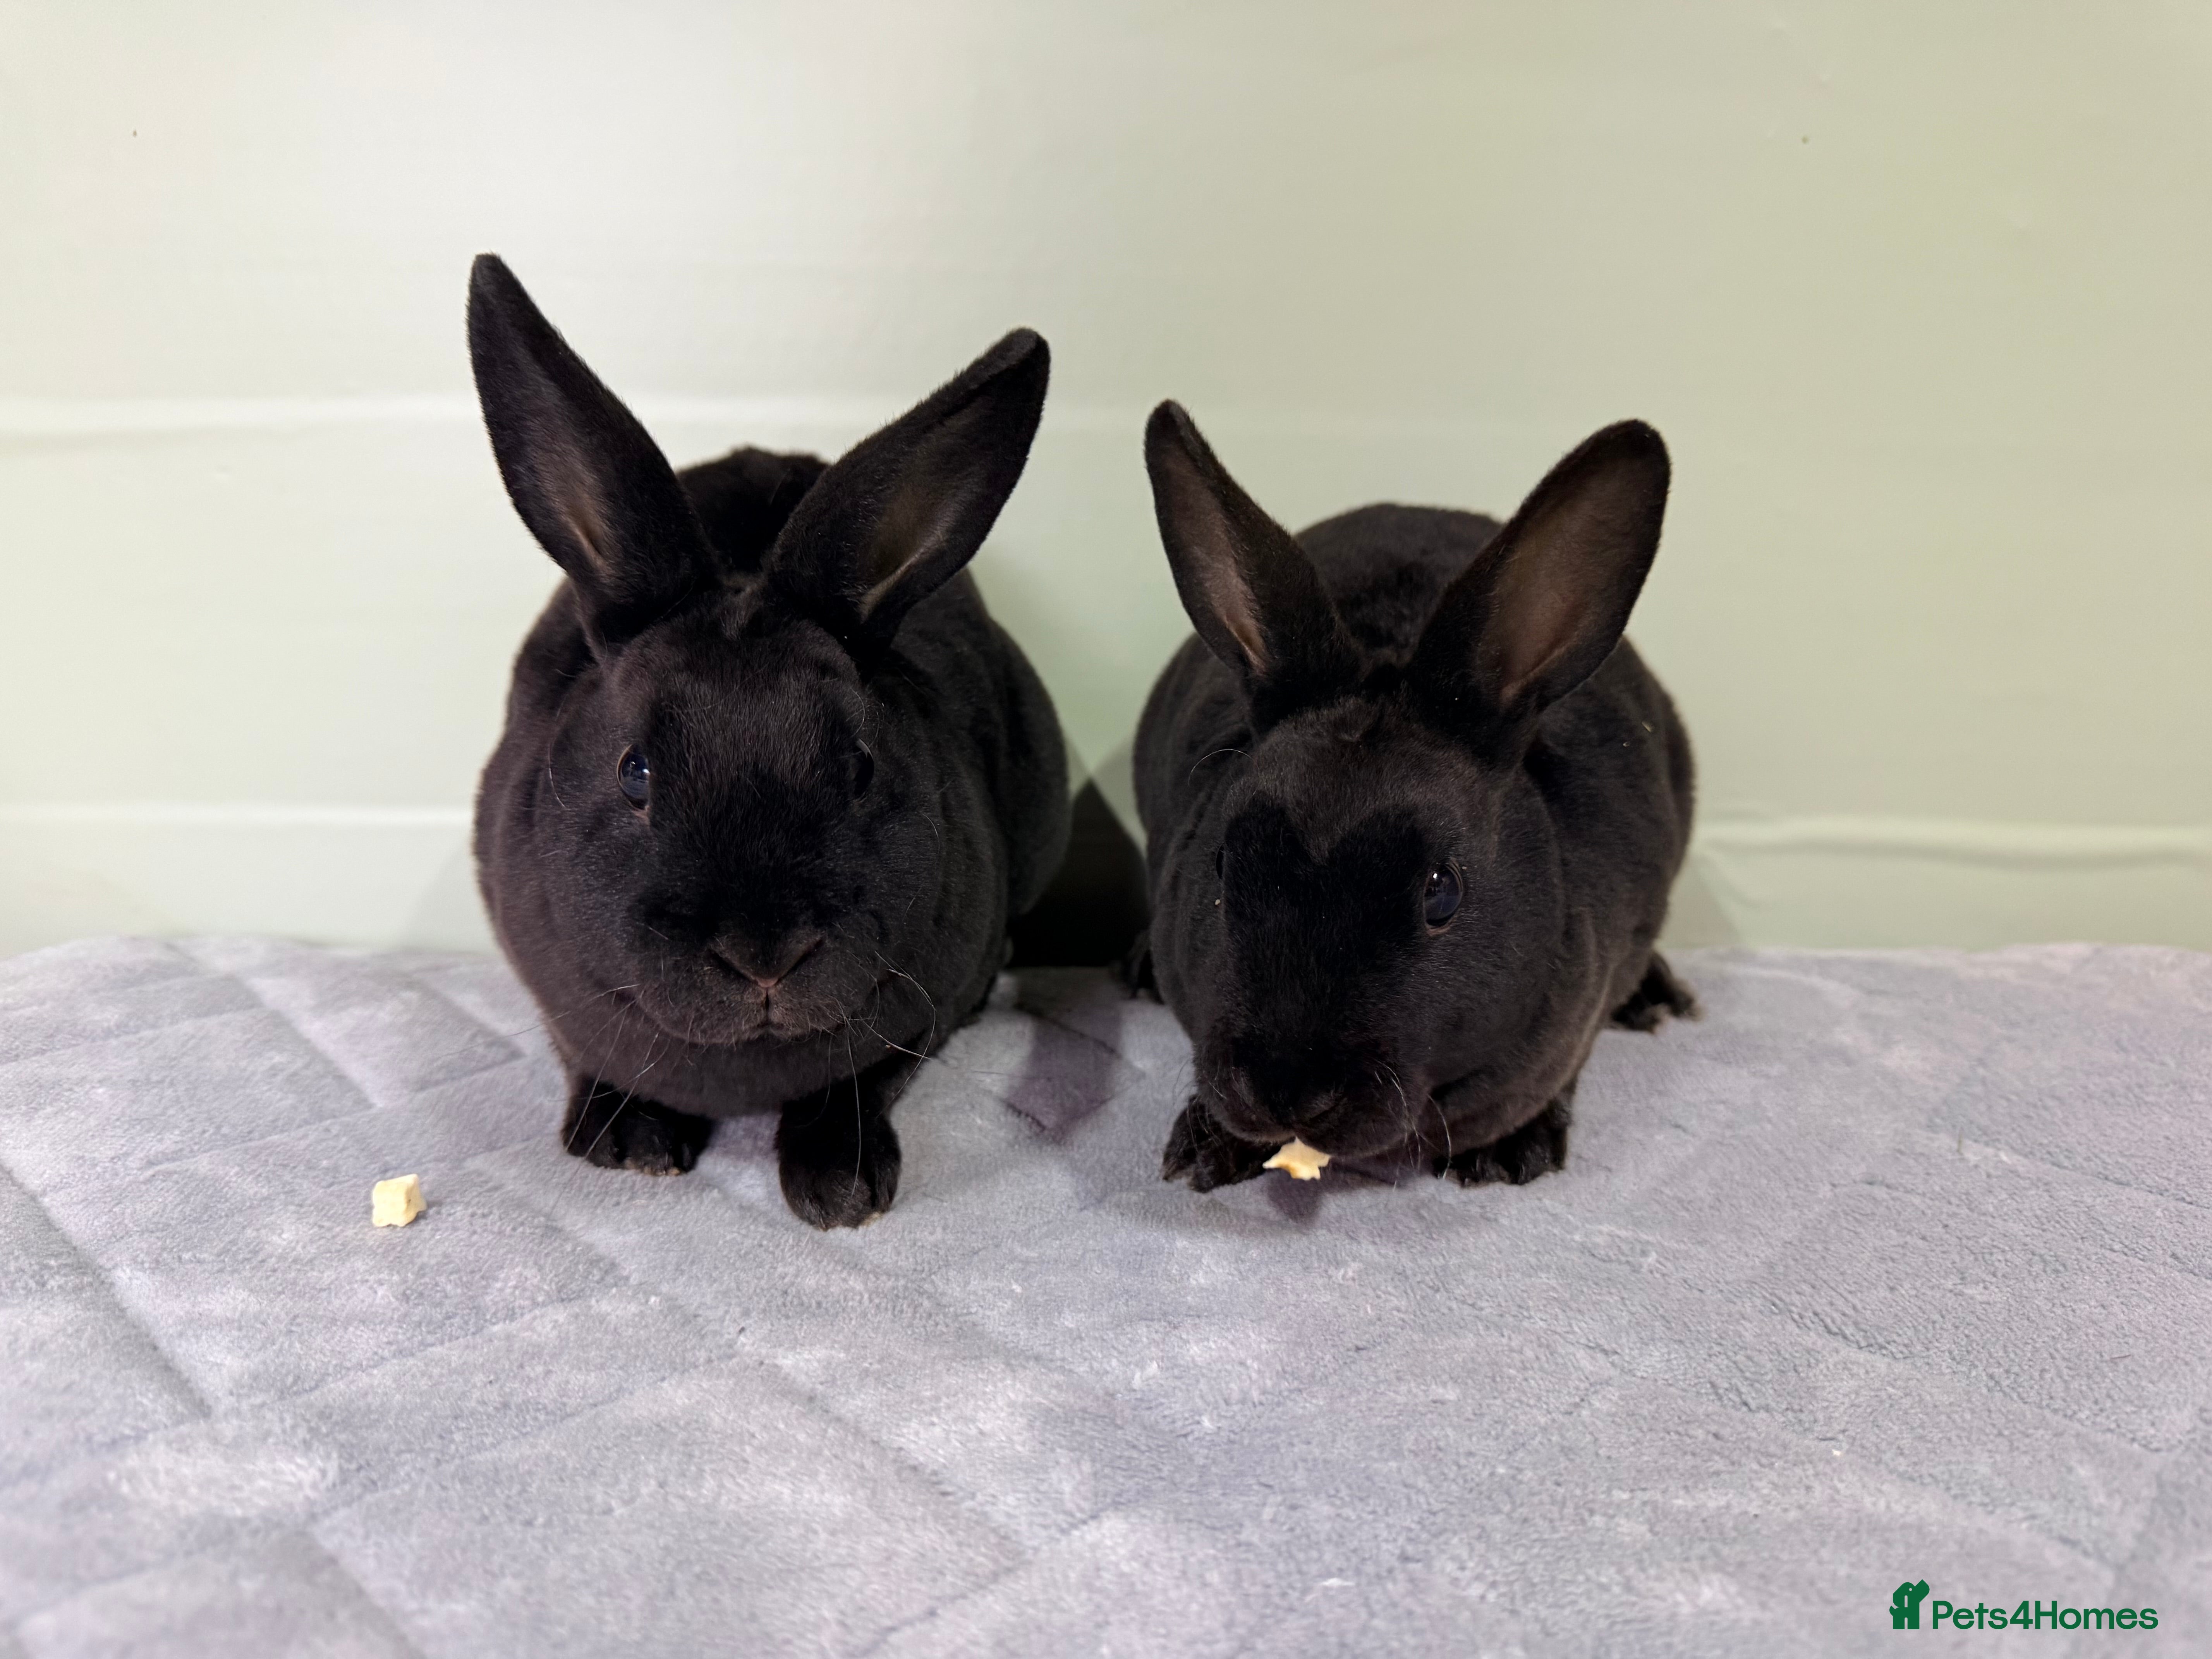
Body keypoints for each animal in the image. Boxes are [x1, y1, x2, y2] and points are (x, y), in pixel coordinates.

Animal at [466, 255, 1069, 1228]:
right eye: (635, 773)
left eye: (860, 767)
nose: (764, 957)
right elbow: (585, 1055)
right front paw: (630, 1146)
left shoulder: (926, 1007)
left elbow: (863, 1079)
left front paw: (841, 1189)